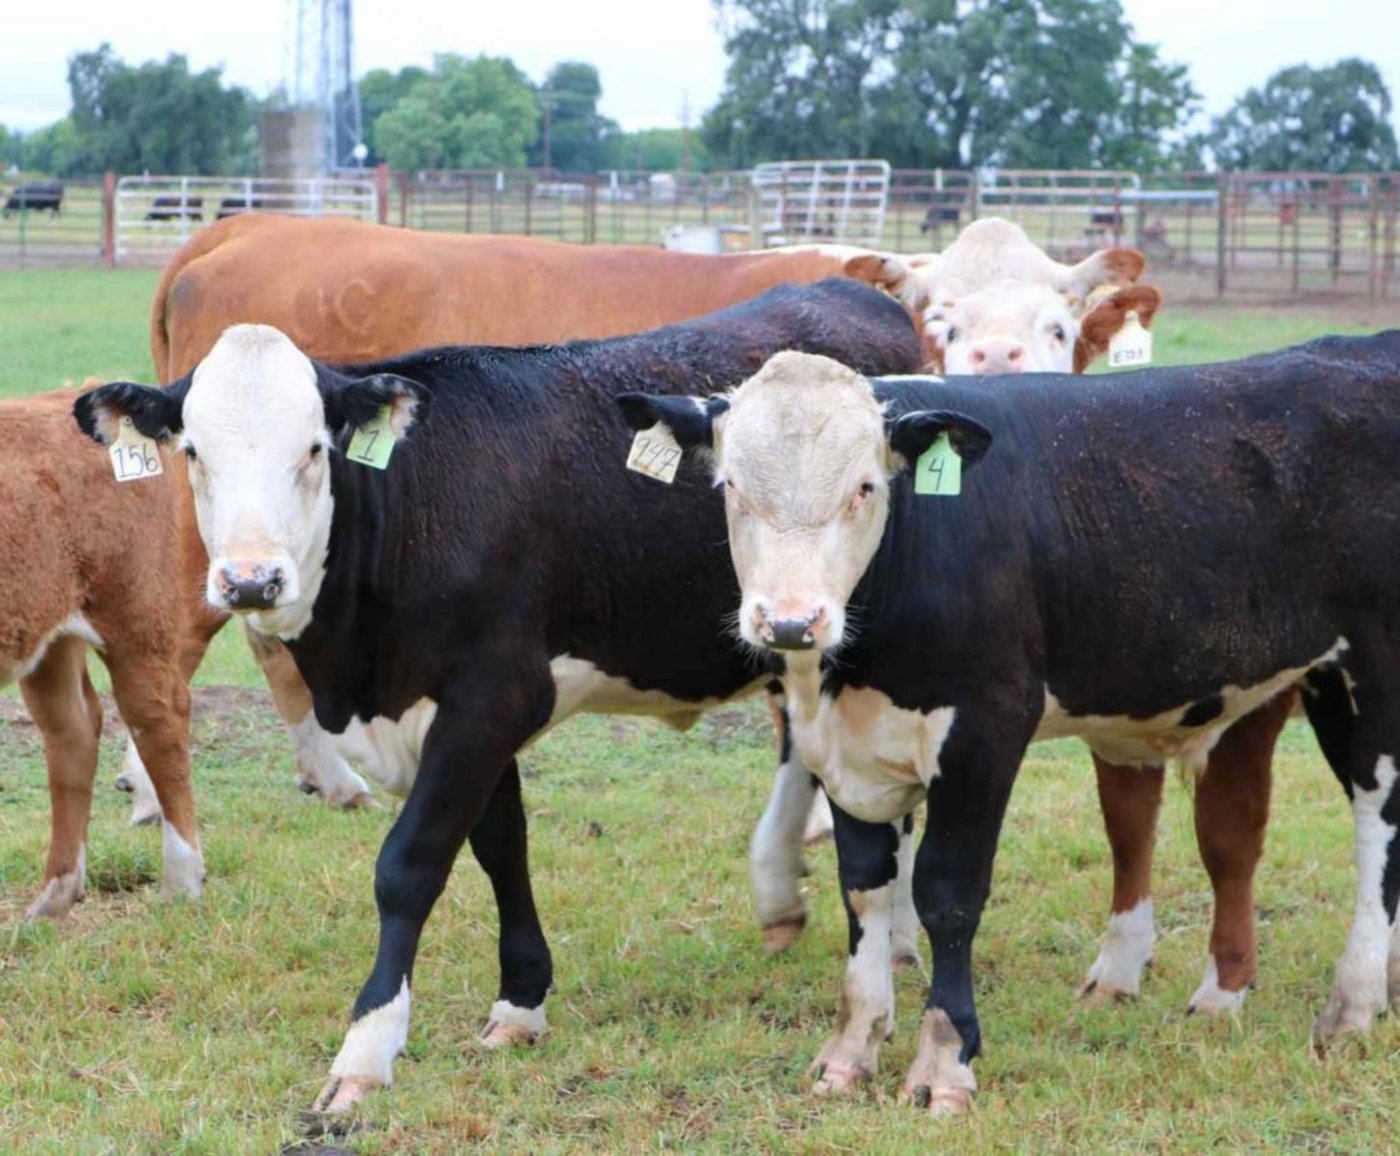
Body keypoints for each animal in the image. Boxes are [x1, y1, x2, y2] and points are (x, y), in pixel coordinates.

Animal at [0, 387, 205, 919]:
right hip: (50, 637)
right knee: (72, 730)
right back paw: (57, 891)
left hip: (136, 617)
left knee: (160, 720)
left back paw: (183, 879)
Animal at [73, 279, 927, 1113]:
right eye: (193, 452)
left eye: (314, 448)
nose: (251, 581)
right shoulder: (469, 715)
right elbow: (501, 845)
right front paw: (521, 1000)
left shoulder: (491, 698)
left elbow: (410, 864)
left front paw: (365, 1053)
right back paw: (785, 893)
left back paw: (898, 935)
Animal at [619, 336, 1400, 1113]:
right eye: (730, 489)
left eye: (865, 488)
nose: (789, 622)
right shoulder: (841, 749)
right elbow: (865, 888)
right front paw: (851, 1048)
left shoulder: (984, 732)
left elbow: (948, 894)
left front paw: (944, 1059)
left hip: (1369, 676)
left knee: (1377, 827)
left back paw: (1354, 1003)